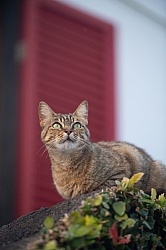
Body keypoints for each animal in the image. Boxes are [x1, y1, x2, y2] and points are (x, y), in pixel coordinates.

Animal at [38, 100, 166, 198]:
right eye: (56, 125)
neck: (66, 163)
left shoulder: (121, 169)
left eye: (77, 125)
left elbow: (104, 185)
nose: (68, 131)